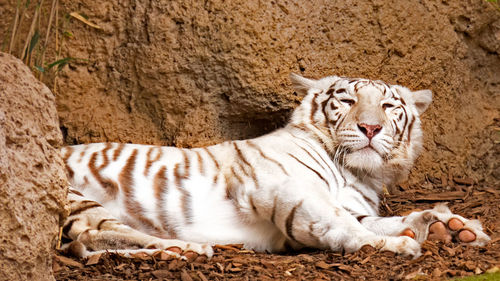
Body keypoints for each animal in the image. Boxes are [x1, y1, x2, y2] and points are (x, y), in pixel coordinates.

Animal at [59, 73, 492, 260]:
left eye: (388, 106)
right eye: (348, 101)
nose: (371, 128)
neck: (359, 172)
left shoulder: (350, 205)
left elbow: (374, 220)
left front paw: (450, 228)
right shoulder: (286, 189)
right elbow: (345, 226)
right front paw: (400, 243)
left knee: (88, 244)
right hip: (74, 197)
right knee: (93, 236)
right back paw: (189, 248)